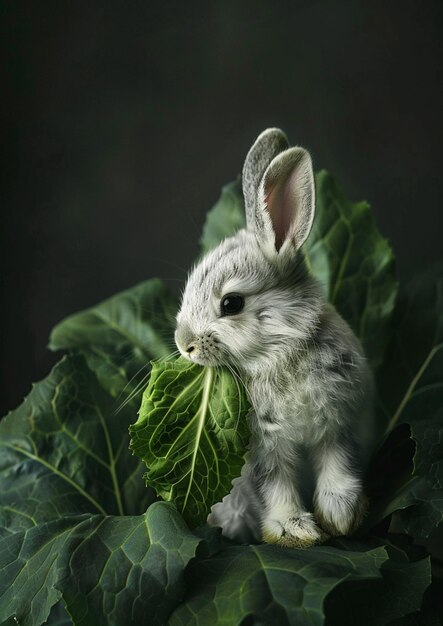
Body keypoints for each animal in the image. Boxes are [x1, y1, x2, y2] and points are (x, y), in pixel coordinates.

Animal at [173, 128, 374, 544]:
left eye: (231, 303)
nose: (184, 345)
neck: (279, 353)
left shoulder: (338, 424)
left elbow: (339, 466)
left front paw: (341, 517)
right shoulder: (264, 450)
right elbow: (275, 486)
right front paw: (294, 530)